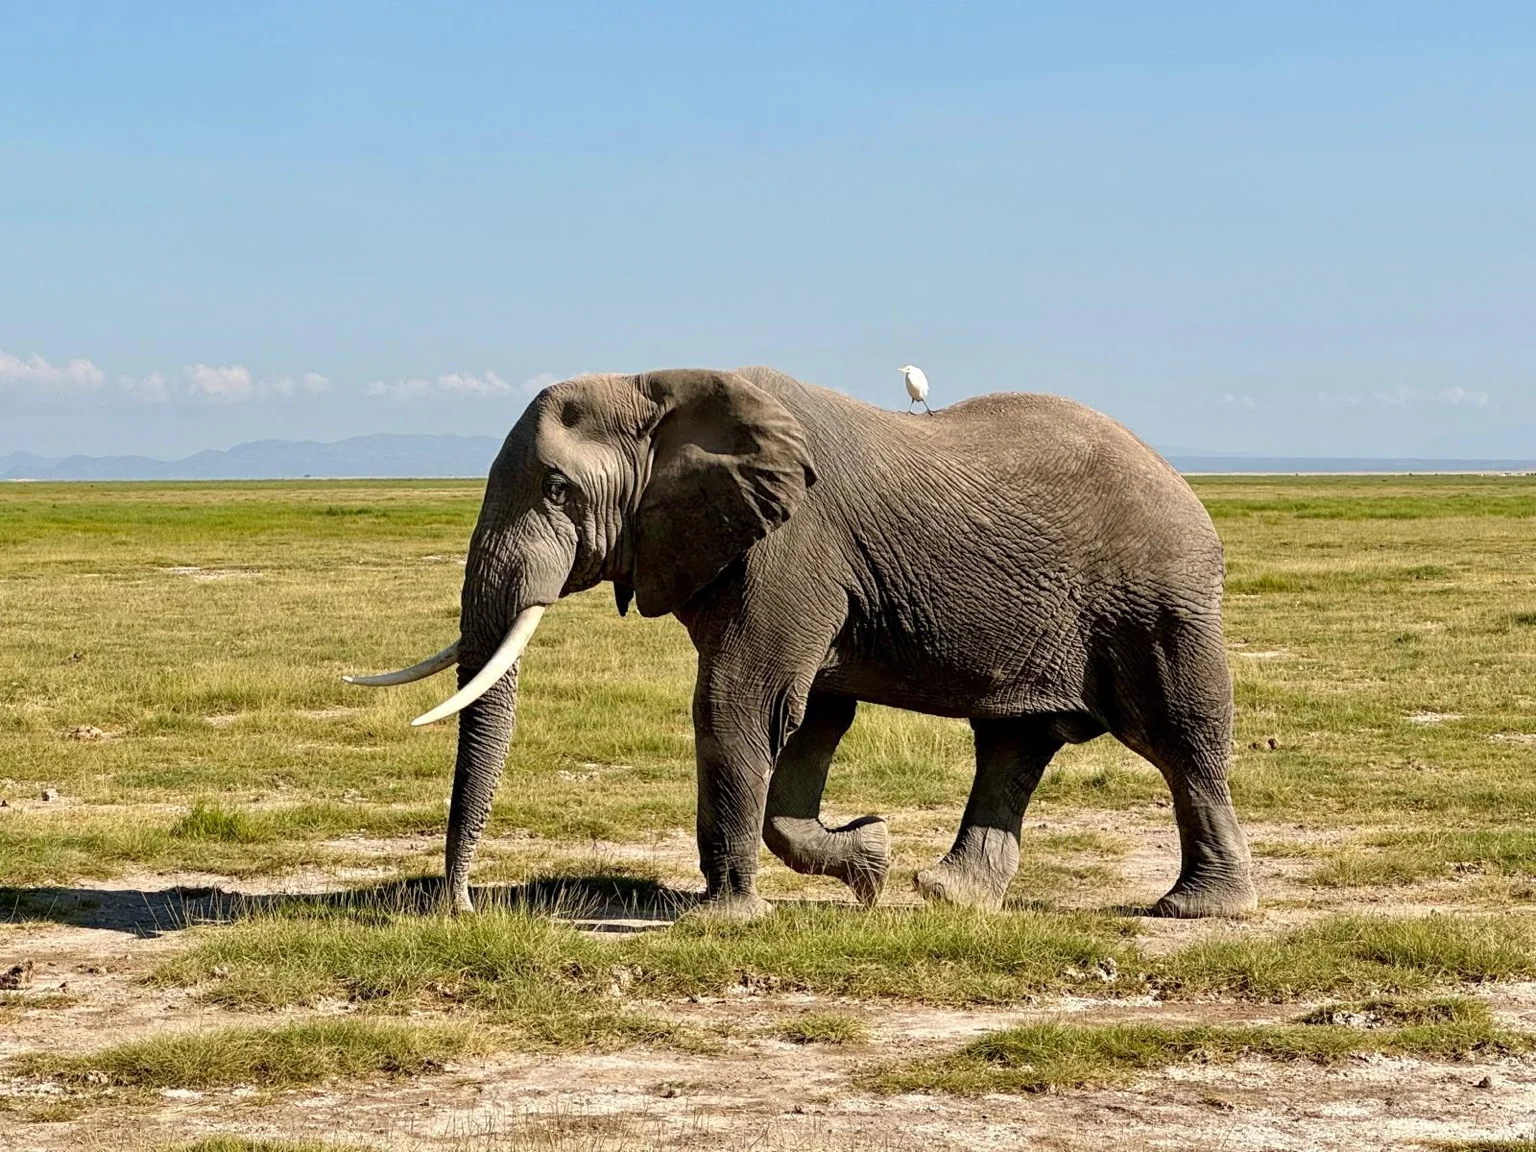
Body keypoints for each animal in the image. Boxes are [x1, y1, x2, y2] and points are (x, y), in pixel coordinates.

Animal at [347, 366, 1257, 920]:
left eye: (559, 490)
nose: (462, 906)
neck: (658, 385)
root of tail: (1188, 488)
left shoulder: (792, 547)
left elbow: (741, 700)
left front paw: (723, 916)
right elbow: (813, 715)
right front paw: (870, 861)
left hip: (1159, 603)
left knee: (1181, 739)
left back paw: (1198, 909)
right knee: (1013, 743)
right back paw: (947, 894)